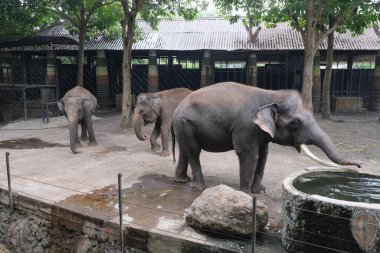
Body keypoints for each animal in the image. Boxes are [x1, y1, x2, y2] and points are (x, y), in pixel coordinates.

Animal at [172, 82, 362, 193]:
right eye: (295, 123)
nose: (360, 166)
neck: (271, 95)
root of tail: (178, 107)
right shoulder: (245, 126)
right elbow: (249, 154)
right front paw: (245, 194)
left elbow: (264, 155)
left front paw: (260, 191)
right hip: (184, 123)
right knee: (194, 151)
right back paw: (199, 188)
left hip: (183, 126)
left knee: (185, 150)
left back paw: (182, 180)